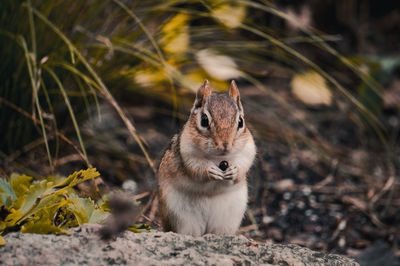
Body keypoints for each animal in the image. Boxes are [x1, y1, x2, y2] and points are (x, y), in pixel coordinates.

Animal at [157, 80, 256, 236]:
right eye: (204, 120)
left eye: (241, 121)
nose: (225, 145)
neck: (218, 158)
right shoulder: (187, 153)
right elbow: (196, 168)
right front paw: (210, 171)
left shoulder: (248, 150)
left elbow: (244, 164)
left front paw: (234, 171)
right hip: (182, 218)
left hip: (226, 220)